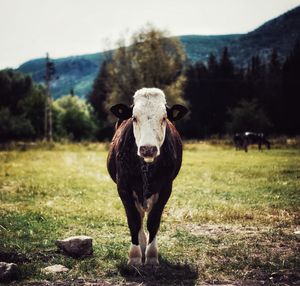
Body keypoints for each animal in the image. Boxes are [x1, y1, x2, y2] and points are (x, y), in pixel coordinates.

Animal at [107, 88, 188, 268]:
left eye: (164, 118)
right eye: (134, 118)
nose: (148, 149)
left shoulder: (166, 187)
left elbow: (154, 220)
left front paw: (151, 256)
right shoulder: (123, 186)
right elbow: (133, 220)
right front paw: (135, 256)